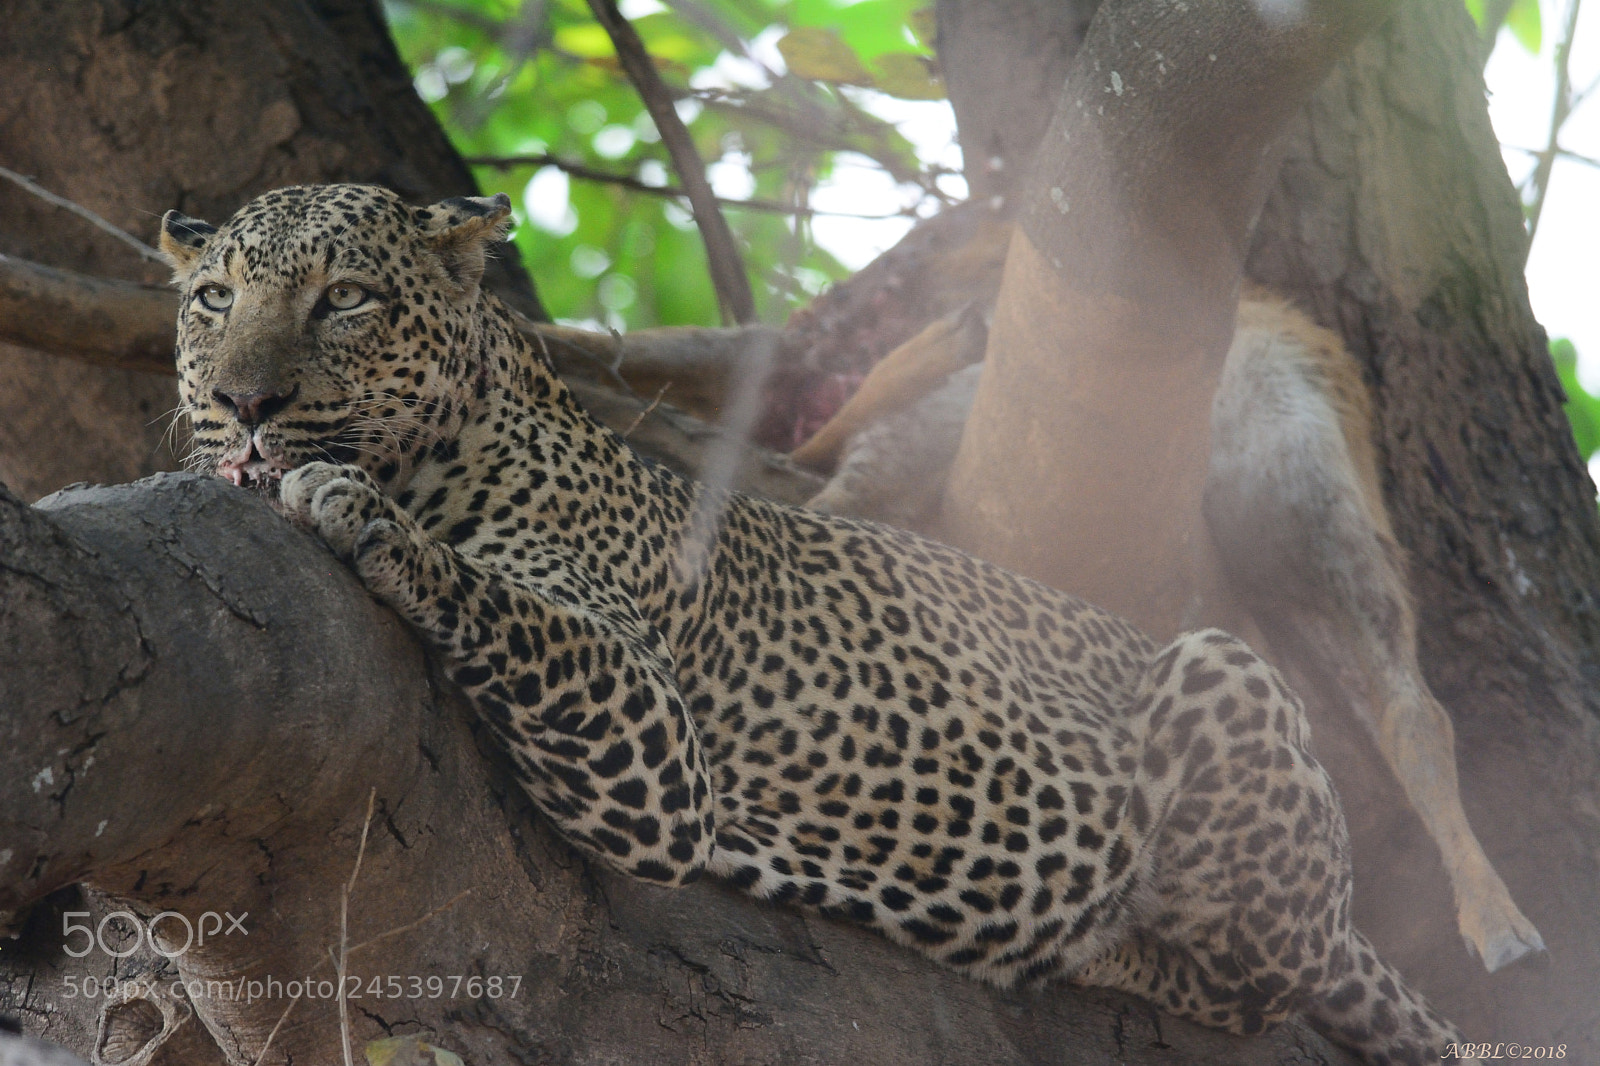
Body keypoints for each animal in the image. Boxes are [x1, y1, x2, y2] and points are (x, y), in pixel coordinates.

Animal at [159, 183, 1474, 1066]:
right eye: (215, 299)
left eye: (345, 300)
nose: (245, 402)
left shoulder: (652, 748)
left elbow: (490, 593)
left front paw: (355, 509)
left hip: (1225, 672)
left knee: (1259, 982)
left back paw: (1096, 938)